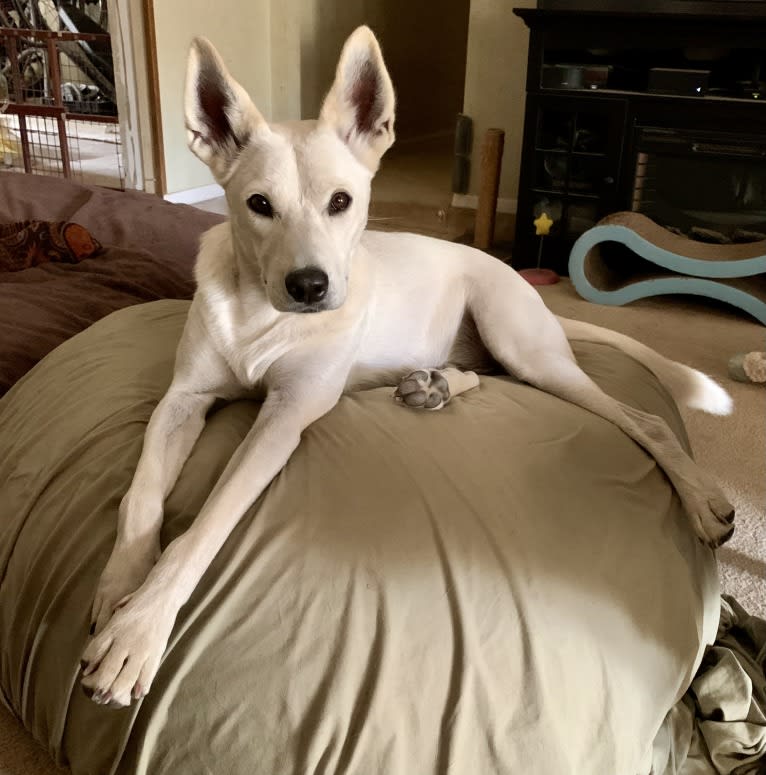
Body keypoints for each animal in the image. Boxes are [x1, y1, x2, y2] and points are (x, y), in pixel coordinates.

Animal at [81, 27, 736, 708]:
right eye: (258, 204)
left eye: (342, 201)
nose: (309, 287)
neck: (256, 307)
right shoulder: (182, 399)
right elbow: (140, 497)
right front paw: (119, 586)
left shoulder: (284, 417)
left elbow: (206, 525)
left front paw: (139, 628)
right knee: (483, 375)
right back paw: (434, 385)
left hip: (524, 345)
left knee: (640, 420)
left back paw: (701, 501)